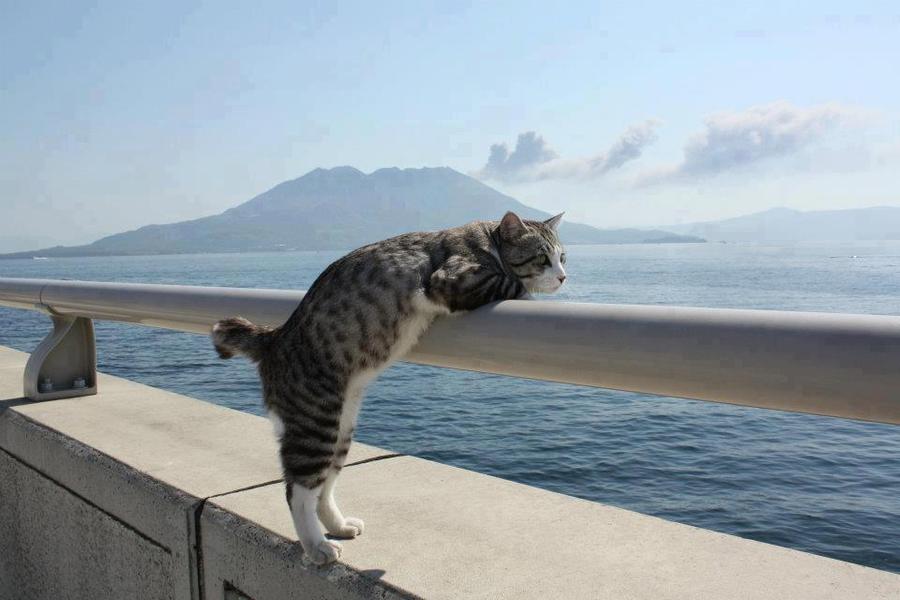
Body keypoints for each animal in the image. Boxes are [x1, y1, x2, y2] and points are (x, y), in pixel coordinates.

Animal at [211, 210, 568, 564]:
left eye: (562, 257)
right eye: (542, 258)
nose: (564, 277)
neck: (486, 240)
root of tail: (274, 339)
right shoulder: (451, 278)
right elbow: (511, 282)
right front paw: (530, 292)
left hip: (342, 427)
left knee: (324, 485)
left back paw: (338, 525)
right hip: (314, 421)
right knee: (297, 491)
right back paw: (316, 545)